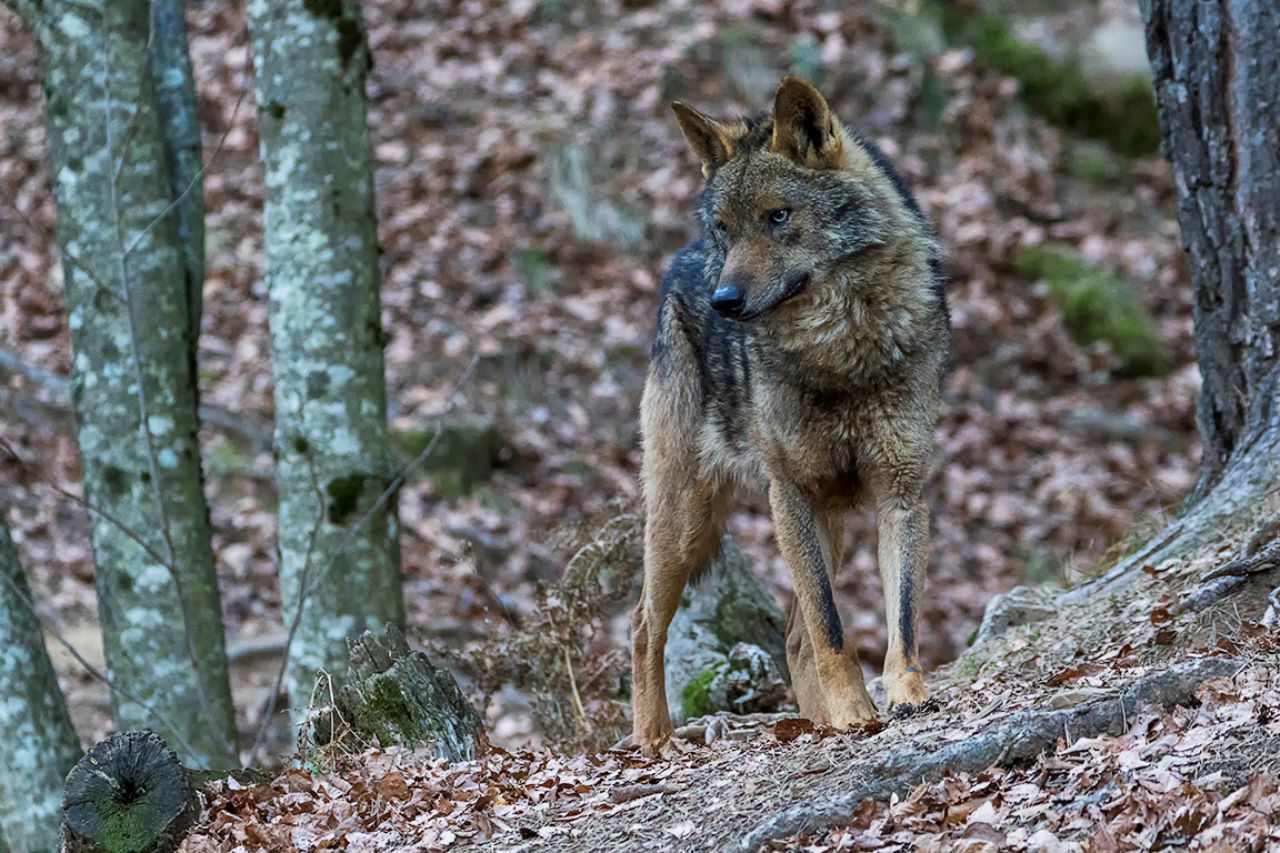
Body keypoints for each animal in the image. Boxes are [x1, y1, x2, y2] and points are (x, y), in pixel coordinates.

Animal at [630, 76, 949, 747]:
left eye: (778, 216)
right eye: (727, 228)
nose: (724, 301)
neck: (842, 352)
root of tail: (681, 260)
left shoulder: (901, 492)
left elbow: (901, 620)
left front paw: (905, 697)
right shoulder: (791, 490)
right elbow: (832, 629)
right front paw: (855, 713)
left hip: (820, 520)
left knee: (794, 637)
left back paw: (814, 723)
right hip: (687, 521)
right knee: (644, 622)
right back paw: (654, 740)